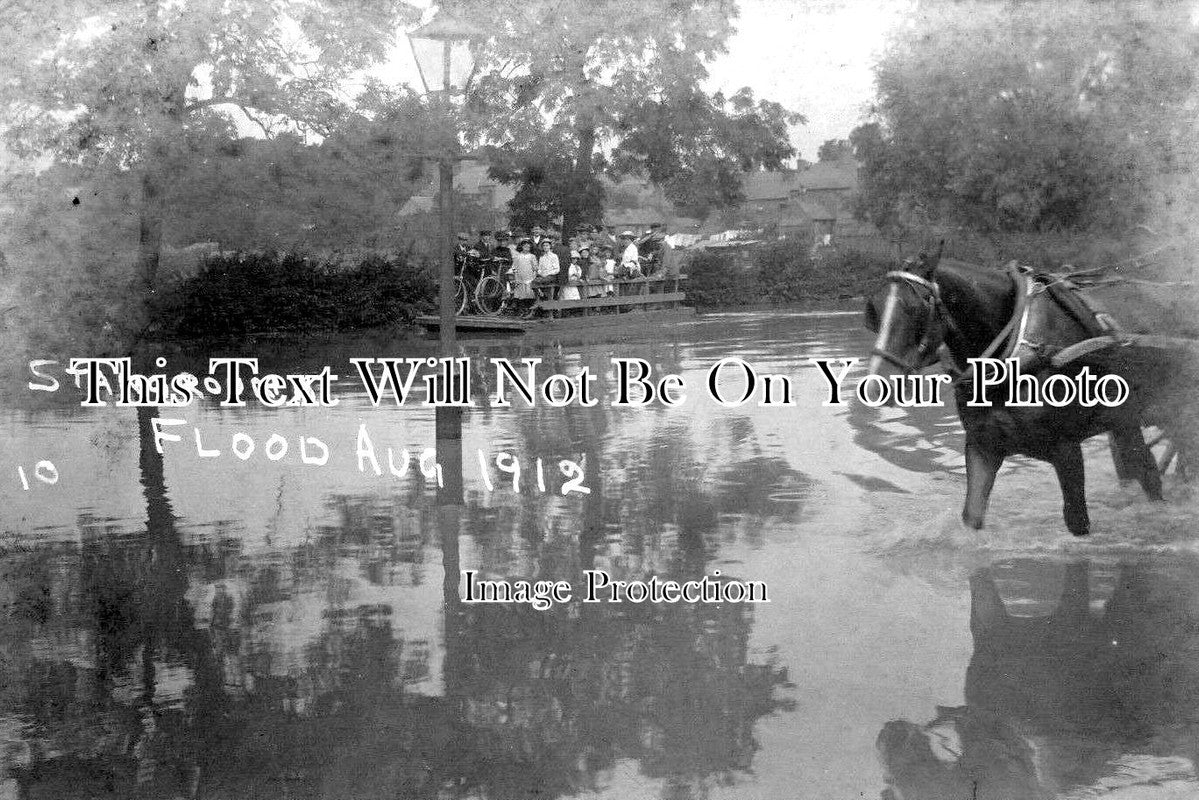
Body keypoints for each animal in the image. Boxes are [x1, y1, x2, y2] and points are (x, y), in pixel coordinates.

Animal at [863, 247, 1160, 534]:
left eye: (916, 307)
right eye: (873, 310)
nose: (876, 385)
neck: (1018, 348)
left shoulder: (1067, 449)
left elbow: (1077, 521)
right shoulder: (982, 447)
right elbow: (972, 515)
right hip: (1123, 421)